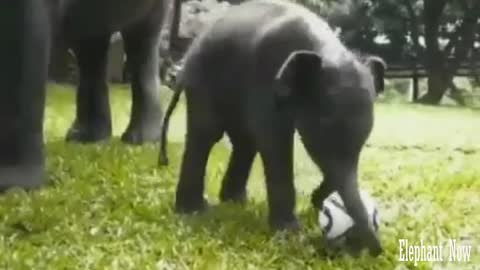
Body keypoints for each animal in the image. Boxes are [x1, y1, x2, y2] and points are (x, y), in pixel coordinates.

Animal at [161, 0, 386, 255]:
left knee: (244, 141)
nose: (375, 250)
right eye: (324, 131)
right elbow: (273, 140)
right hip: (203, 80)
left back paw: (235, 202)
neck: (326, 49)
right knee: (206, 133)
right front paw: (290, 234)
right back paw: (194, 211)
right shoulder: (266, 74)